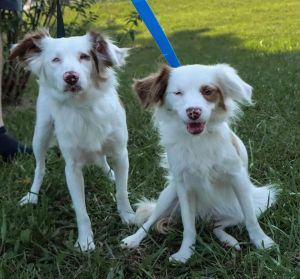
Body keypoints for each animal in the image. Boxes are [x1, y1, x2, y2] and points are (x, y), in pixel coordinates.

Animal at [9, 29, 135, 253]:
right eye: (55, 59)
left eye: (84, 56)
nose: (71, 77)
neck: (84, 106)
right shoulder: (72, 168)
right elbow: (81, 210)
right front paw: (85, 241)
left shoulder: (121, 153)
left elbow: (122, 192)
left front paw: (128, 217)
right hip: (40, 135)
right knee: (39, 168)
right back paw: (32, 195)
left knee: (102, 159)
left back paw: (109, 174)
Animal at [121, 64, 278, 264]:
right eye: (177, 93)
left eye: (207, 91)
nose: (193, 111)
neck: (198, 139)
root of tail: (207, 215)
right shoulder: (184, 187)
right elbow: (189, 227)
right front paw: (185, 253)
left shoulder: (238, 178)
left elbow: (251, 219)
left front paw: (261, 241)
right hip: (169, 195)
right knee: (150, 220)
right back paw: (133, 240)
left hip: (249, 205)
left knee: (218, 225)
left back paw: (228, 240)